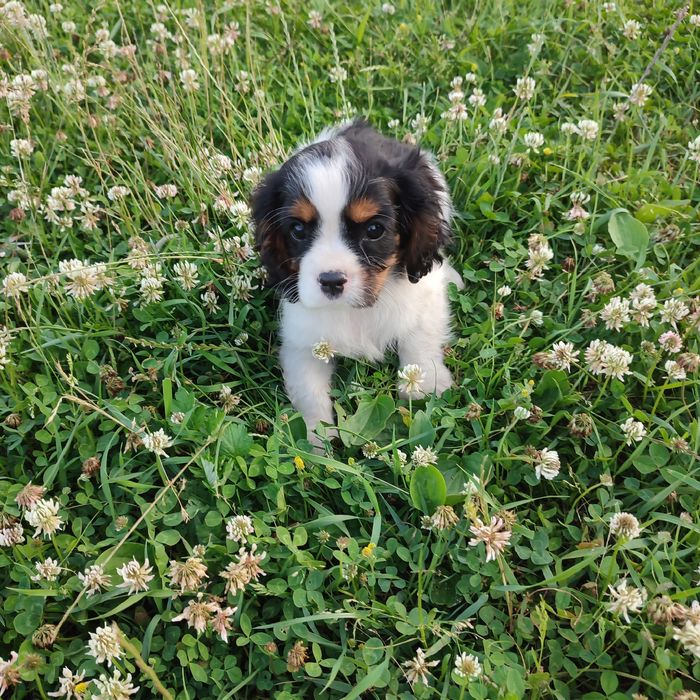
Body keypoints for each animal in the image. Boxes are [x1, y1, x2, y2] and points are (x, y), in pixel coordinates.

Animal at [250, 120, 460, 442]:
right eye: (297, 229)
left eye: (374, 230)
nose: (331, 281)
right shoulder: (302, 340)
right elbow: (309, 391)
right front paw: (316, 437)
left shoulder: (426, 296)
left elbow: (420, 336)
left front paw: (423, 384)